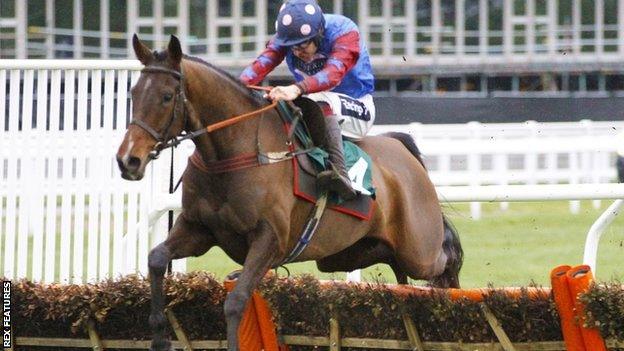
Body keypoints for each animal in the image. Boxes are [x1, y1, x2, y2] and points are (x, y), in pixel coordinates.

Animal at [116, 35, 464, 351]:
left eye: (166, 96)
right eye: (134, 93)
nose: (128, 160)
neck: (236, 152)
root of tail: (399, 146)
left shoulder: (269, 239)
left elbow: (236, 301)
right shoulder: (198, 228)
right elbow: (156, 259)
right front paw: (159, 336)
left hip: (417, 249)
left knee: (446, 257)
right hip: (352, 252)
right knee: (398, 266)